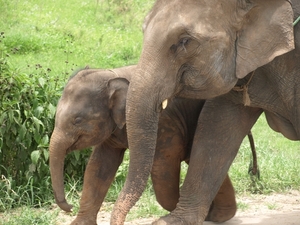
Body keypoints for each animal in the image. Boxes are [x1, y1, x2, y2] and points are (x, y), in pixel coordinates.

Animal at [48, 66, 246, 224]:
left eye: (77, 120)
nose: (69, 206)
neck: (114, 75)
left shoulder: (164, 123)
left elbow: (163, 166)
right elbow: (99, 167)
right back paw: (216, 216)